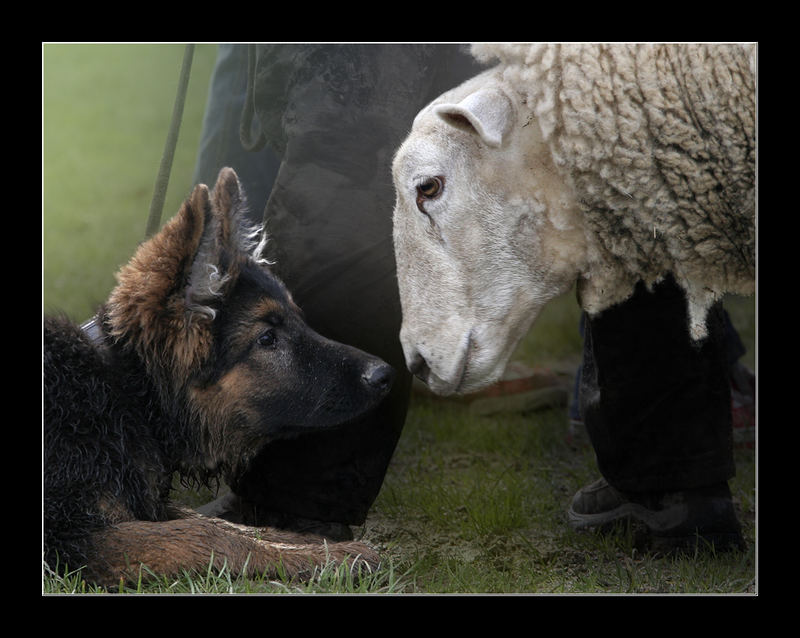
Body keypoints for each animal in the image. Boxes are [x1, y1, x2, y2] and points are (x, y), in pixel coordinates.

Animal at [43, 168, 394, 588]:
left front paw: (306, 544)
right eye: (267, 339)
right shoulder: (70, 539)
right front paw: (329, 558)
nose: (385, 374)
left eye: (299, 319)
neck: (127, 396)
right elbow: (205, 534)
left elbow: (222, 524)